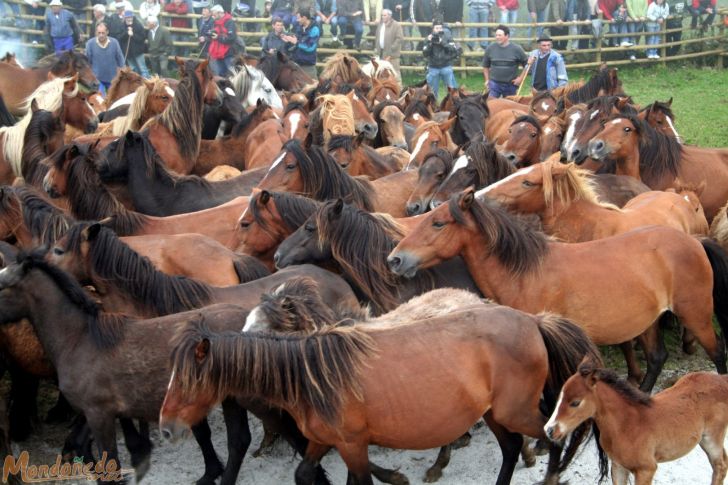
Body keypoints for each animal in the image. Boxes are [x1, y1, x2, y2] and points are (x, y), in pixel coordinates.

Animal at [164, 290, 604, 482]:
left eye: (187, 380)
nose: (166, 428)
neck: (317, 374)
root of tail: (532, 320)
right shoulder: (326, 441)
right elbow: (305, 474)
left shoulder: (353, 444)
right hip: (493, 412)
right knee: (513, 448)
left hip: (516, 411)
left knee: (554, 436)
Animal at [390, 187, 728, 392]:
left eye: (438, 223)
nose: (395, 259)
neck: (525, 273)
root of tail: (695, 241)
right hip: (648, 322)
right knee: (657, 359)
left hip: (695, 315)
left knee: (717, 353)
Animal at [544, 358, 728, 484]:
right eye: (559, 397)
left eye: (575, 403)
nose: (549, 430)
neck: (626, 425)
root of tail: (722, 379)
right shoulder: (618, 466)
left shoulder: (646, 469)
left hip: (711, 438)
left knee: (720, 465)